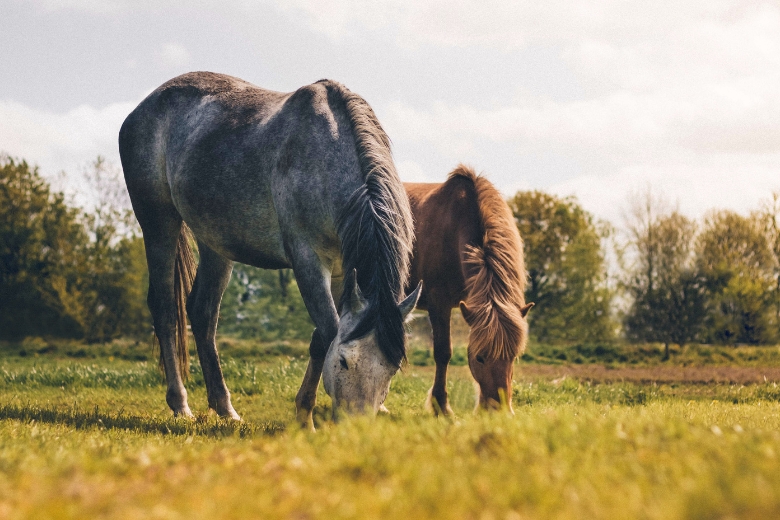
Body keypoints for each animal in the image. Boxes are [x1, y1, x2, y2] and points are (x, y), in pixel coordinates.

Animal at [119, 72, 421, 428]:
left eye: (392, 369)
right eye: (345, 361)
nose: (355, 427)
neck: (327, 155)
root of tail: (143, 107)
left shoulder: (342, 271)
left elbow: (321, 337)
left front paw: (303, 411)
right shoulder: (308, 260)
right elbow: (328, 332)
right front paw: (305, 417)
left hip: (215, 243)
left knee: (202, 313)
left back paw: (225, 408)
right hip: (158, 223)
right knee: (166, 310)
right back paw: (180, 404)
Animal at [405, 165, 533, 414]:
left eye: (513, 357)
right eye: (480, 357)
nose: (499, 410)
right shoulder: (439, 303)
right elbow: (443, 353)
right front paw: (442, 407)